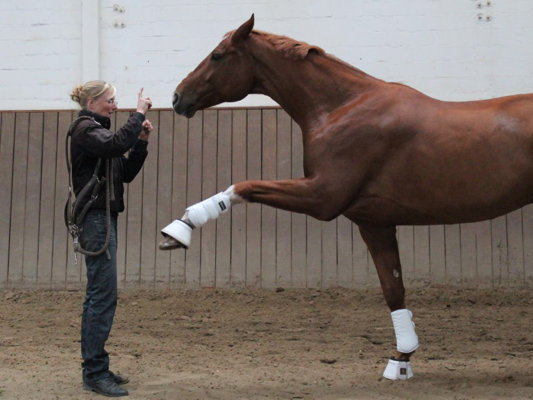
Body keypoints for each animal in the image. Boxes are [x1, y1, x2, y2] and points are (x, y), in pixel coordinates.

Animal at [159, 14, 533, 380]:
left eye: (217, 55)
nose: (178, 97)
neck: (342, 108)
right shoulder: (374, 222)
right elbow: (393, 289)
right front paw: (401, 361)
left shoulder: (321, 197)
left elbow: (244, 186)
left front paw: (179, 229)